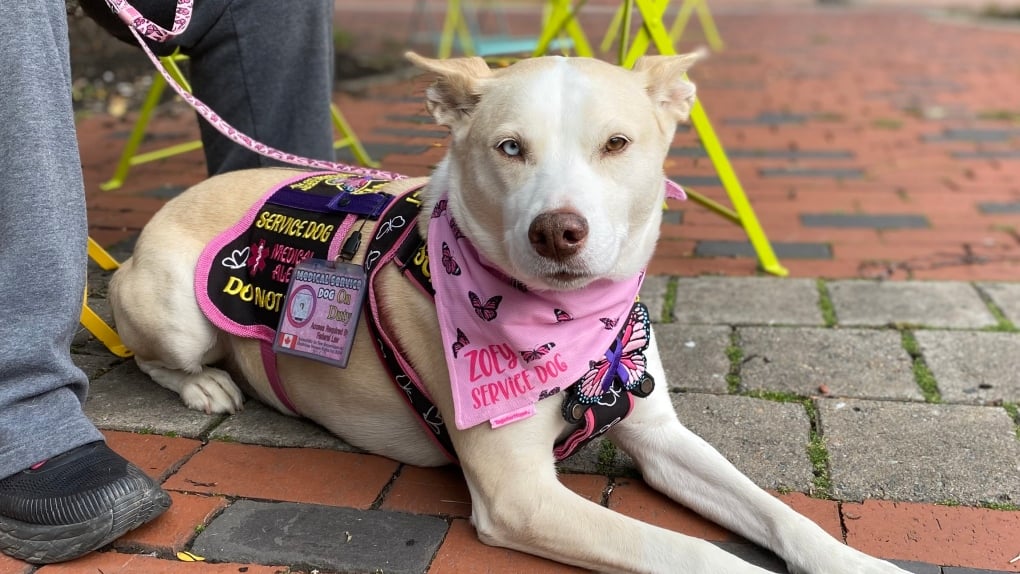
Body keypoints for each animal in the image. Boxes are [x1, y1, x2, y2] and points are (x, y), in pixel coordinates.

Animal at [111, 54, 909, 574]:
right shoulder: (521, 496)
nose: (557, 231)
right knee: (148, 354)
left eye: (617, 143)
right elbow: (694, 554)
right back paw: (207, 385)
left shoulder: (660, 437)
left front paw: (860, 564)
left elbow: (781, 513)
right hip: (171, 309)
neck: (570, 323)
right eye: (509, 148)